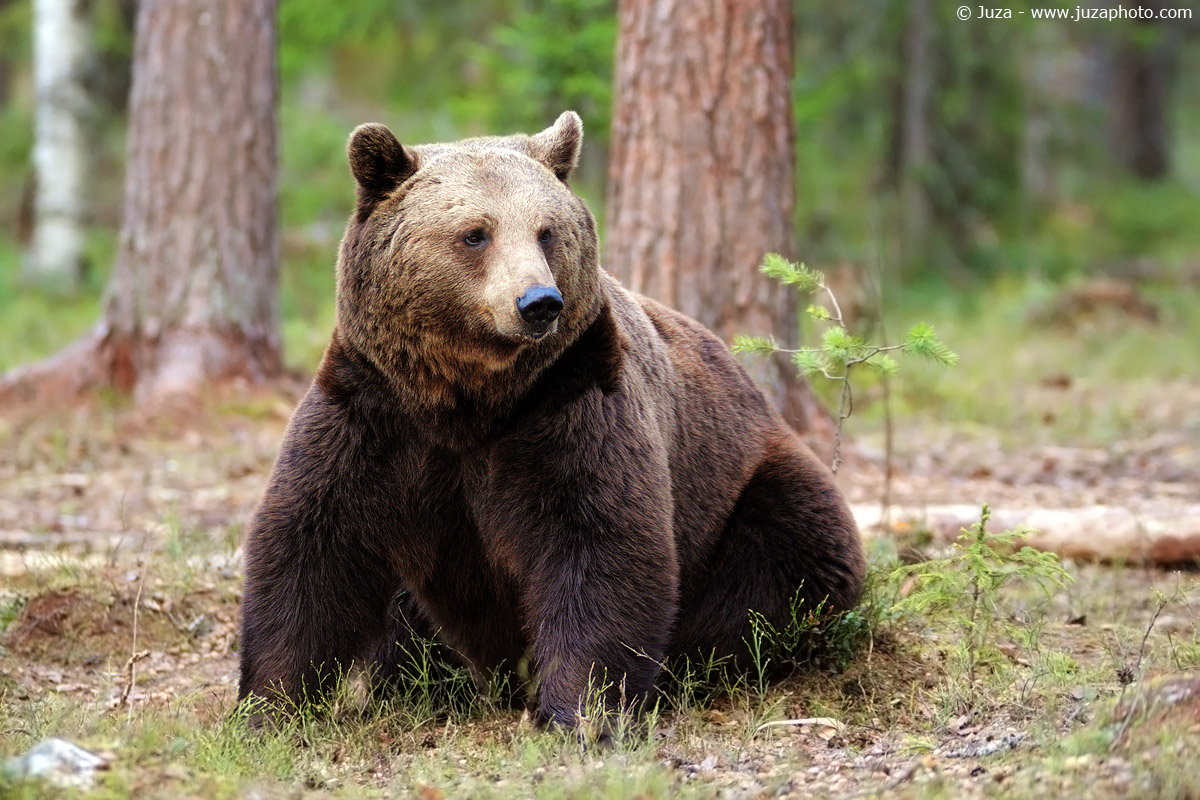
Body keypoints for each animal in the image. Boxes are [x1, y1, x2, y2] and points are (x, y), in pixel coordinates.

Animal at [237, 111, 866, 729]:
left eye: (546, 230)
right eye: (475, 233)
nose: (539, 301)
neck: (468, 398)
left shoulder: (570, 400)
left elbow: (597, 542)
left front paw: (578, 709)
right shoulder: (375, 410)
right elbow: (314, 544)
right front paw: (270, 704)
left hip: (744, 487)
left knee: (782, 561)